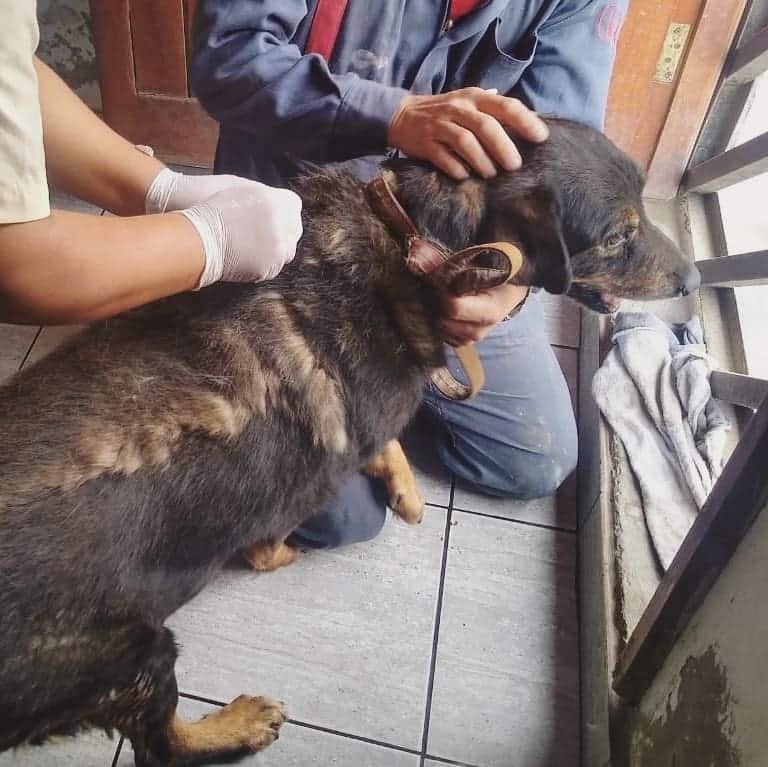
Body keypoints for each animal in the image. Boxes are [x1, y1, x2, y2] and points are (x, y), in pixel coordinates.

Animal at [0, 117, 696, 764]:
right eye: (618, 237)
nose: (692, 281)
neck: (412, 243)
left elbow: (386, 443)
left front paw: (405, 488)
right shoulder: (300, 483)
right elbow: (267, 544)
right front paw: (281, 553)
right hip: (135, 653)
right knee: (164, 744)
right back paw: (237, 723)